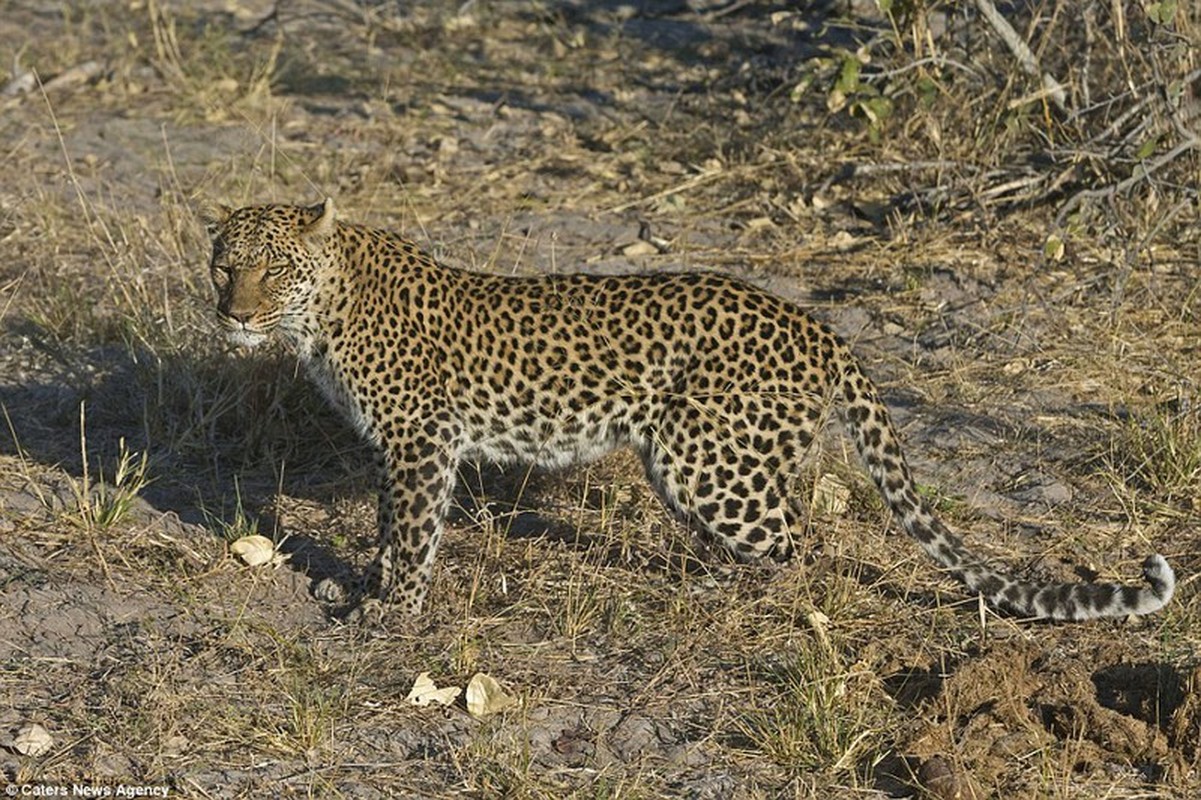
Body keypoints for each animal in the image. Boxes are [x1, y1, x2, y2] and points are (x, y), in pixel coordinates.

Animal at [201, 195, 1176, 619]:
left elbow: (412, 535)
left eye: (272, 269)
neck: (325, 314)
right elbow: (383, 527)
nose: (234, 313)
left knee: (796, 544)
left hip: (698, 456)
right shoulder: (390, 449)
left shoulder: (421, 443)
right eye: (222, 266)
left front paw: (392, 613)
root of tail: (818, 326)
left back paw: (724, 589)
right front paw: (364, 584)